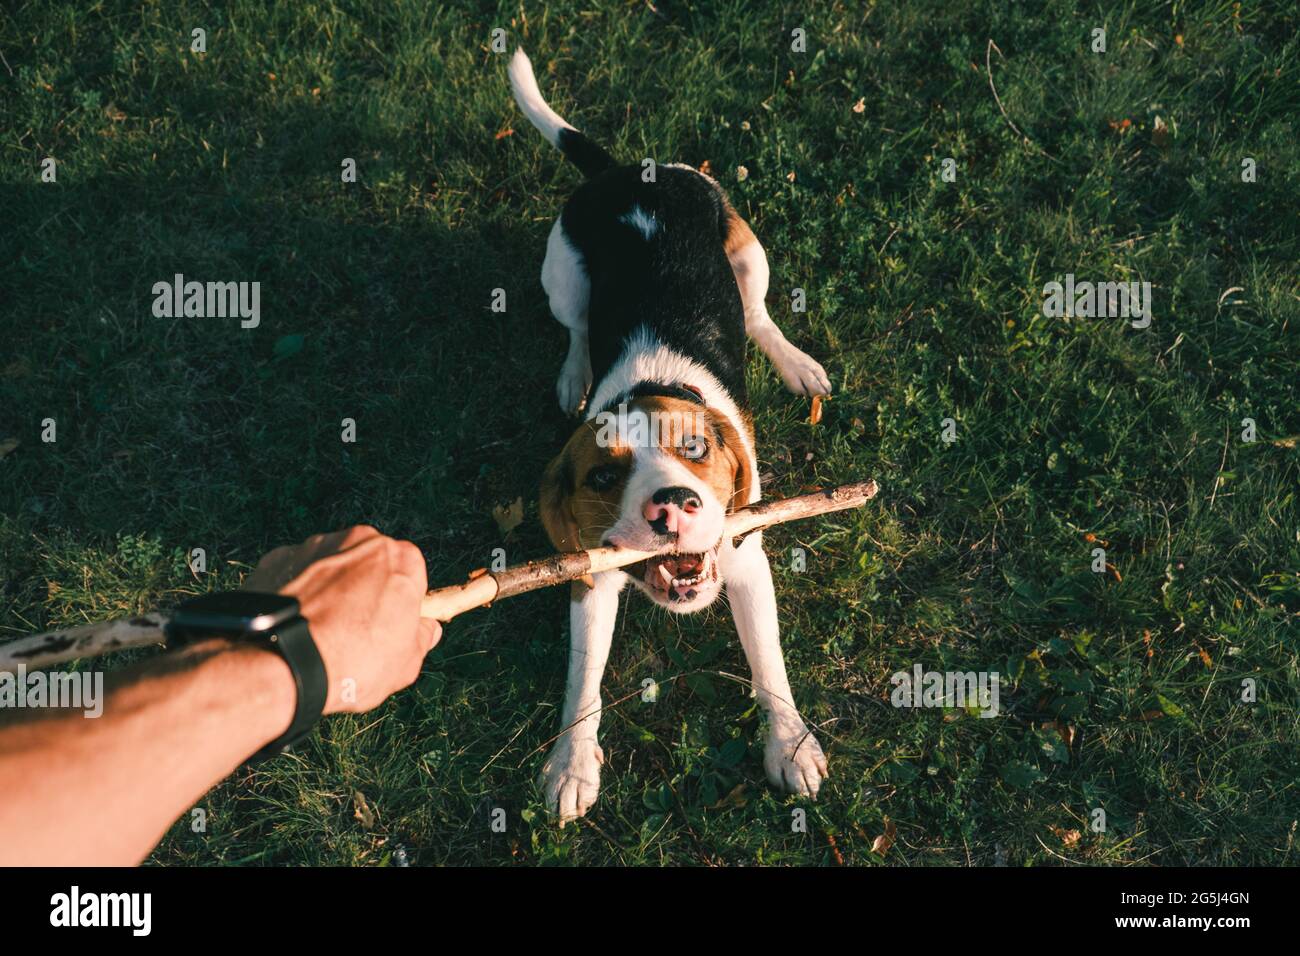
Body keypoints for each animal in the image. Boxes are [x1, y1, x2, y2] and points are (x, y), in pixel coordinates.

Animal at [506, 48, 832, 822]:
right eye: (602, 476)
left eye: (696, 450)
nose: (672, 506)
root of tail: (626, 171)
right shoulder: (590, 579)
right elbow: (582, 683)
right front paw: (571, 765)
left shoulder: (744, 559)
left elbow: (769, 665)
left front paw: (790, 745)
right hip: (559, 272)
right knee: (575, 327)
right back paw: (574, 375)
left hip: (748, 252)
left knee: (759, 315)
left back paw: (796, 364)